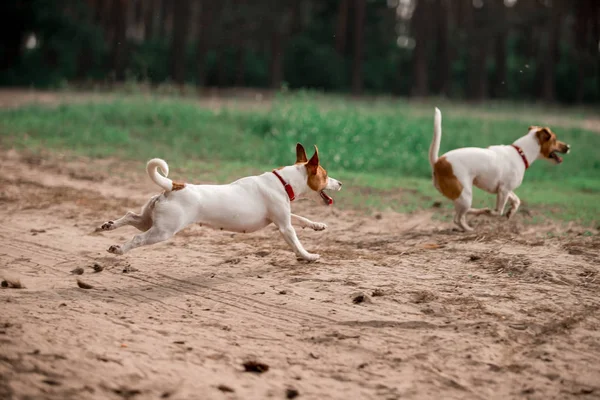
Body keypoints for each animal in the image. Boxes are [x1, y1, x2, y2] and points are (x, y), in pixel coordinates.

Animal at [97, 142, 342, 260]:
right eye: (326, 175)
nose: (340, 183)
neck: (283, 181)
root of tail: (173, 185)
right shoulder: (284, 226)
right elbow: (297, 242)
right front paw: (308, 256)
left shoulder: (284, 217)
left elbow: (302, 218)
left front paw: (318, 225)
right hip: (162, 231)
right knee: (137, 238)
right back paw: (119, 249)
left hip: (151, 221)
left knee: (132, 217)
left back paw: (109, 225)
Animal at [428, 108, 568, 231]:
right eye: (555, 139)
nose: (568, 147)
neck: (520, 153)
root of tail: (438, 162)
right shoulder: (503, 190)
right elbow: (498, 211)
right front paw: (492, 212)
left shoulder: (505, 189)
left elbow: (516, 200)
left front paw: (510, 212)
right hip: (465, 195)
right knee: (459, 218)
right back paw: (471, 226)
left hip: (462, 197)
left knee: (462, 214)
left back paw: (475, 217)